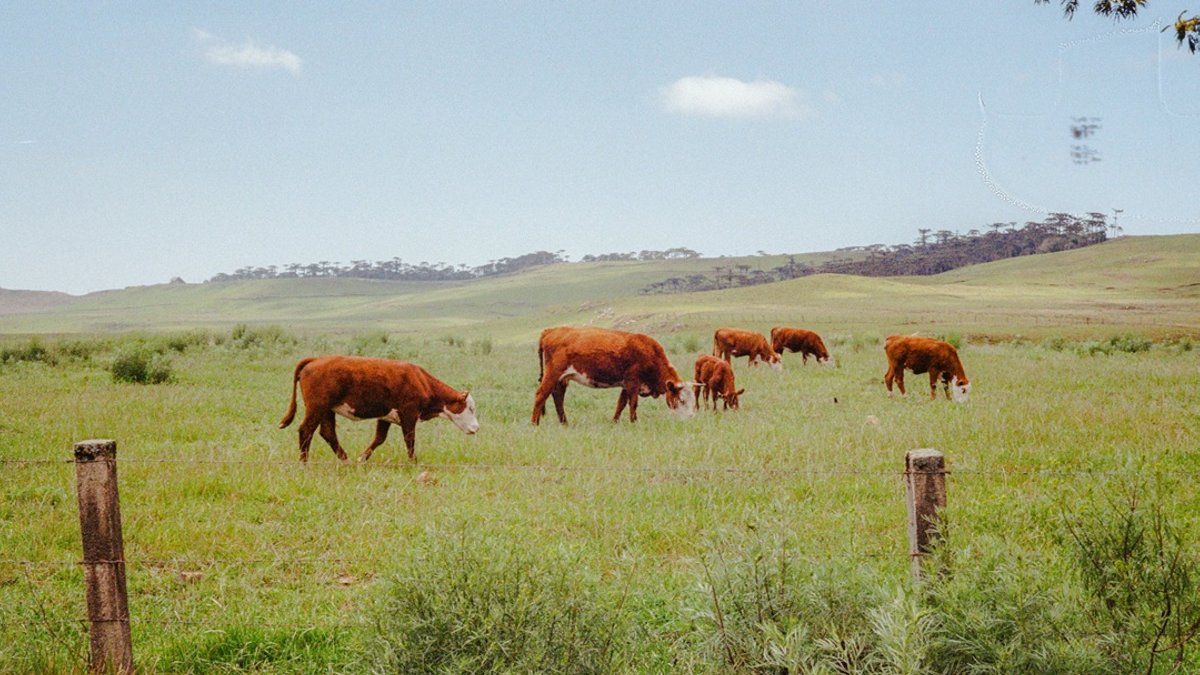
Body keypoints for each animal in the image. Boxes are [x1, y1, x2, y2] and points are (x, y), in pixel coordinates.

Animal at [278, 355, 478, 463]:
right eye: (470, 408)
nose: (476, 428)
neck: (422, 381)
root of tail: (316, 359)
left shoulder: (385, 417)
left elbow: (379, 439)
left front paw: (361, 458)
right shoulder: (409, 414)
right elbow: (410, 439)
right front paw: (413, 462)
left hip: (327, 410)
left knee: (327, 433)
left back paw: (346, 460)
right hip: (316, 407)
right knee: (306, 430)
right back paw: (304, 463)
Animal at [532, 326, 696, 425]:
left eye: (693, 401)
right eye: (681, 400)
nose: (690, 417)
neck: (650, 353)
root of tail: (551, 330)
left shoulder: (626, 384)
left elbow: (621, 403)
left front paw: (615, 421)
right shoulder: (633, 382)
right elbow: (633, 403)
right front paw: (634, 421)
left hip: (562, 379)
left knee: (558, 397)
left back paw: (564, 423)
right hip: (553, 374)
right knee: (541, 395)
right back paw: (535, 423)